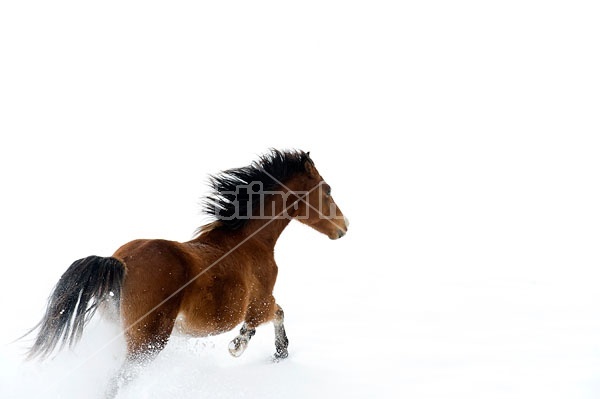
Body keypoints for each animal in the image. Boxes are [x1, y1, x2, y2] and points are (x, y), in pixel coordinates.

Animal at [27, 149, 346, 396]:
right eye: (328, 189)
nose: (344, 227)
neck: (249, 241)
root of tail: (121, 262)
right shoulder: (260, 300)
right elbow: (276, 313)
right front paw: (250, 348)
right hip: (148, 342)